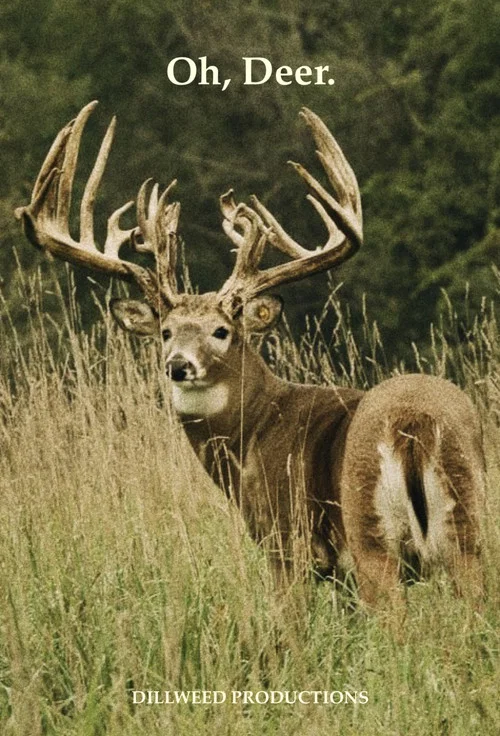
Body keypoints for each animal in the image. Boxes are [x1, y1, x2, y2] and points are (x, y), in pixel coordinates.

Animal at [15, 101, 484, 617]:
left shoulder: (286, 541)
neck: (254, 431)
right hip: (469, 527)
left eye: (222, 331)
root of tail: (412, 425)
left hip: (371, 537)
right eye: (165, 331)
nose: (179, 365)